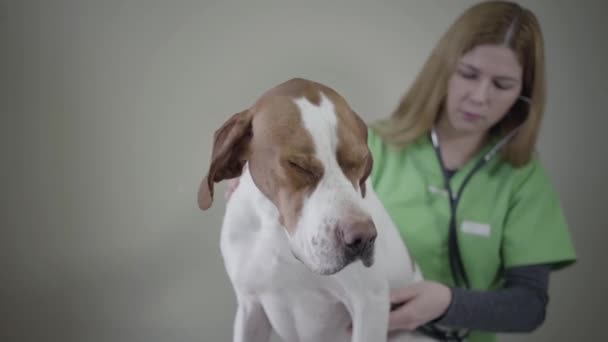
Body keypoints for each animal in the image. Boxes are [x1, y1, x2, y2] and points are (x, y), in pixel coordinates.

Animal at [198, 78, 432, 342]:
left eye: (361, 161)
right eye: (298, 165)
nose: (363, 238)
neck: (277, 232)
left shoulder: (370, 303)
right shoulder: (250, 306)